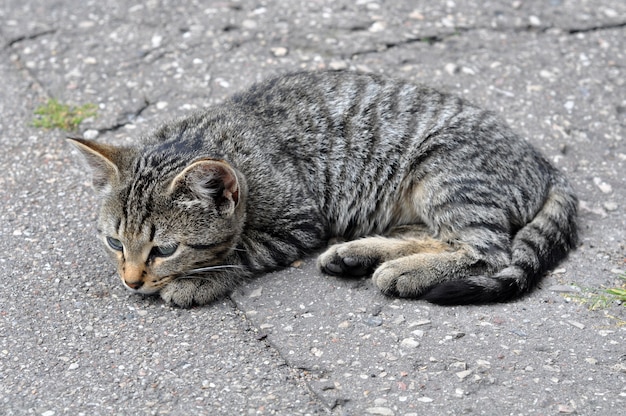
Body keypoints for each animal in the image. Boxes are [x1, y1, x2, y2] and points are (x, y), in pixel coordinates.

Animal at [67, 70, 576, 308]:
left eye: (164, 249)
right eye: (114, 242)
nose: (131, 281)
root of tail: (545, 164)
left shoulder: (297, 221)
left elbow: (241, 252)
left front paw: (199, 279)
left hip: (446, 175)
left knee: (487, 252)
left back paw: (405, 272)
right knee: (441, 237)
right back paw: (362, 255)